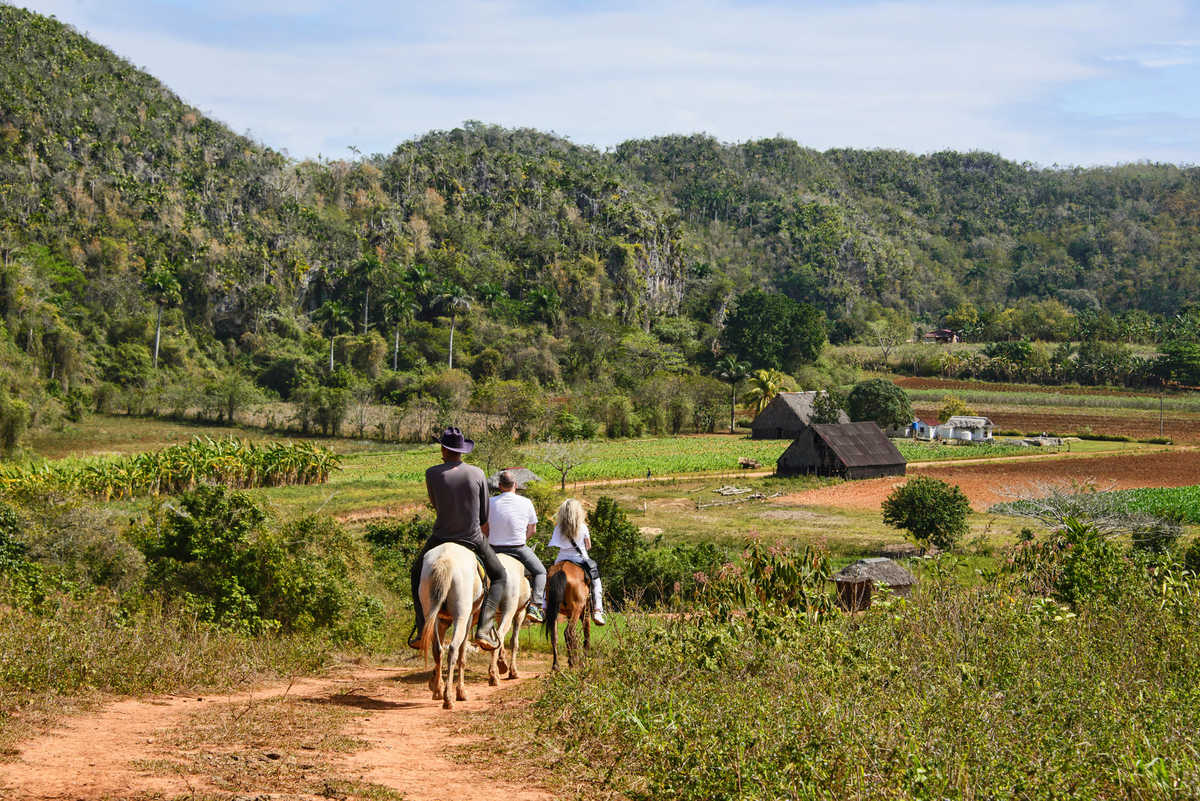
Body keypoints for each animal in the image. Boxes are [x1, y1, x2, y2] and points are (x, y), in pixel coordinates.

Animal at [417, 544, 482, 705]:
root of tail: (445, 560)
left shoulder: (441, 619)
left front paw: (436, 684)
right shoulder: (469, 617)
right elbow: (463, 654)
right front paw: (461, 692)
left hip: (430, 612)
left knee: (437, 650)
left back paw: (439, 692)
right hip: (461, 616)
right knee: (453, 649)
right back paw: (448, 698)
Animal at [489, 553, 532, 685]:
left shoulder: (498, 615)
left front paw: (502, 663)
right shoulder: (519, 613)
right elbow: (514, 641)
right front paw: (513, 672)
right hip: (510, 610)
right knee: (500, 634)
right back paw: (493, 676)